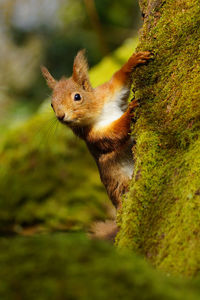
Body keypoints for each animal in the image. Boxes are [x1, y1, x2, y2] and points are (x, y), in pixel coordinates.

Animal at [41, 51, 150, 239]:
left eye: (77, 96)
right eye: (51, 104)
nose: (61, 116)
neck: (98, 111)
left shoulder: (108, 95)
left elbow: (118, 81)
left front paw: (133, 61)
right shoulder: (94, 135)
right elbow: (115, 134)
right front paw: (129, 112)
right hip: (119, 186)